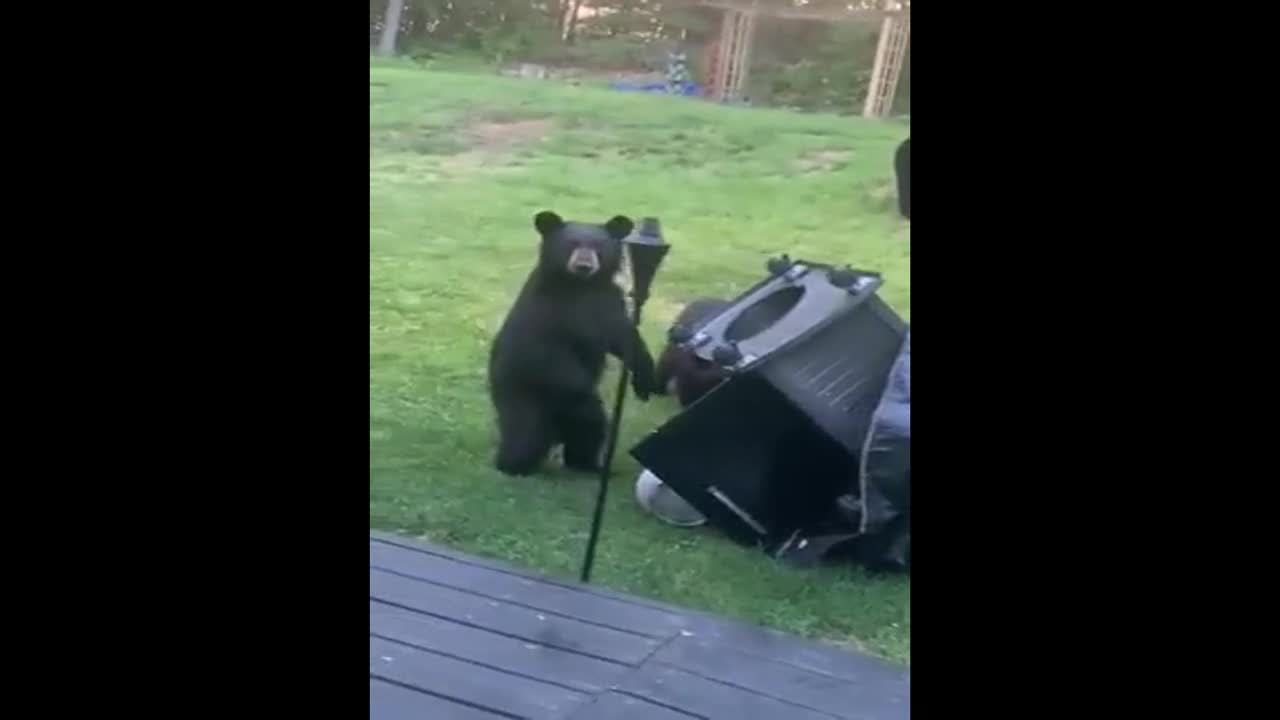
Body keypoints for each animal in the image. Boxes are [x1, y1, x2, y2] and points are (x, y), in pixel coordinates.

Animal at [483, 210, 655, 474]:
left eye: (597, 246)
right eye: (571, 244)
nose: (584, 265)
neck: (579, 287)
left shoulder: (608, 301)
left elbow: (622, 337)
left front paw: (644, 379)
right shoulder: (546, 314)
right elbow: (548, 356)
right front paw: (588, 390)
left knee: (589, 431)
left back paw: (589, 465)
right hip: (519, 397)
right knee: (525, 436)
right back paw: (512, 464)